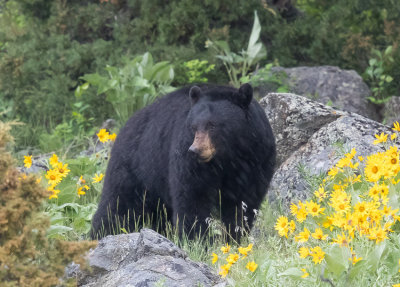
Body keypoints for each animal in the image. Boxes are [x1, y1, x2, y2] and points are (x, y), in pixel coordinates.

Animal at [91, 83, 276, 241]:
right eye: (194, 126)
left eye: (212, 125)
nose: (195, 150)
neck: (228, 156)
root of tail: (125, 125)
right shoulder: (188, 158)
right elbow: (193, 196)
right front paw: (196, 240)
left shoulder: (256, 159)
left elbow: (244, 202)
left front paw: (234, 237)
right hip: (135, 165)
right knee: (118, 203)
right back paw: (102, 234)